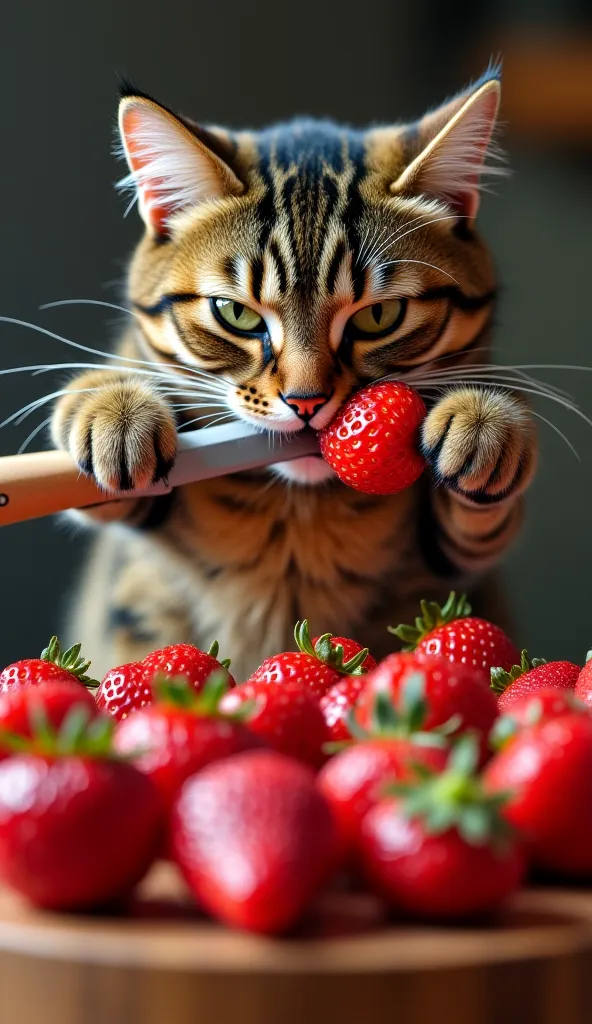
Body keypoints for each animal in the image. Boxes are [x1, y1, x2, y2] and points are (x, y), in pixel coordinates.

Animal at [51, 68, 532, 684]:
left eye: (379, 316)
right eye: (236, 314)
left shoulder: (454, 558)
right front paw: (113, 411)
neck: (297, 514)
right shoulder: (140, 533)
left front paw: (483, 422)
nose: (307, 402)